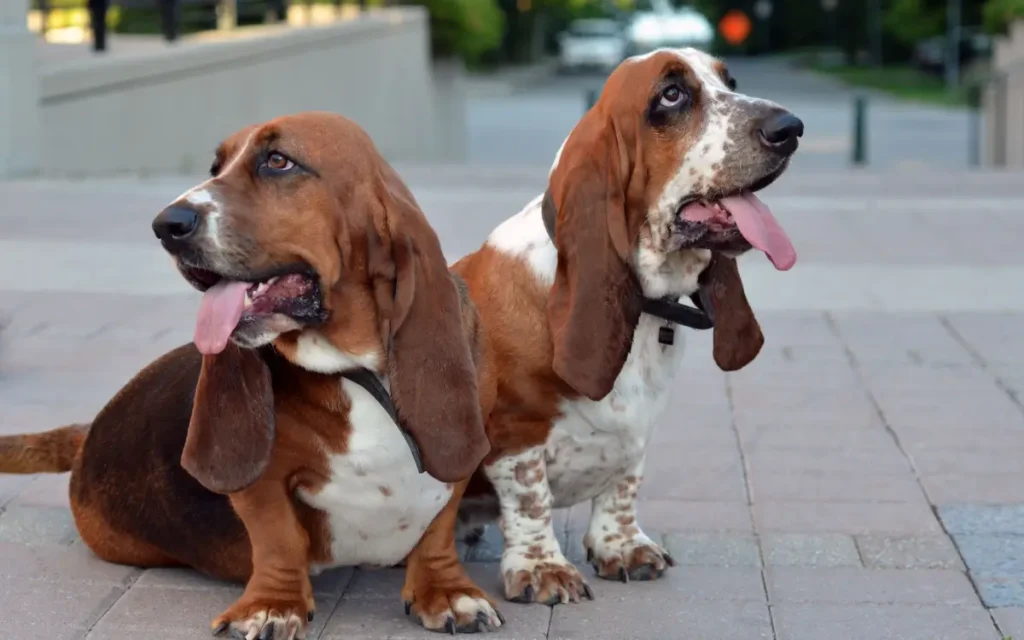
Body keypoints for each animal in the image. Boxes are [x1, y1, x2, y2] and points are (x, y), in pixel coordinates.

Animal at [0, 112, 503, 634]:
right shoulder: (264, 484)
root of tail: (88, 433)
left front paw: (447, 592)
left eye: (278, 161)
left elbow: (438, 528)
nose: (166, 224)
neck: (355, 368)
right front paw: (272, 605)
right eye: (215, 167)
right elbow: (277, 536)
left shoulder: (459, 454)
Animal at [454, 49, 798, 602]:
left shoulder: (639, 430)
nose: (791, 128)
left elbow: (623, 484)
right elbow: (530, 499)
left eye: (730, 81)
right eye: (671, 95)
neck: (648, 306)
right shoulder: (513, 432)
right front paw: (542, 568)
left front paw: (621, 547)